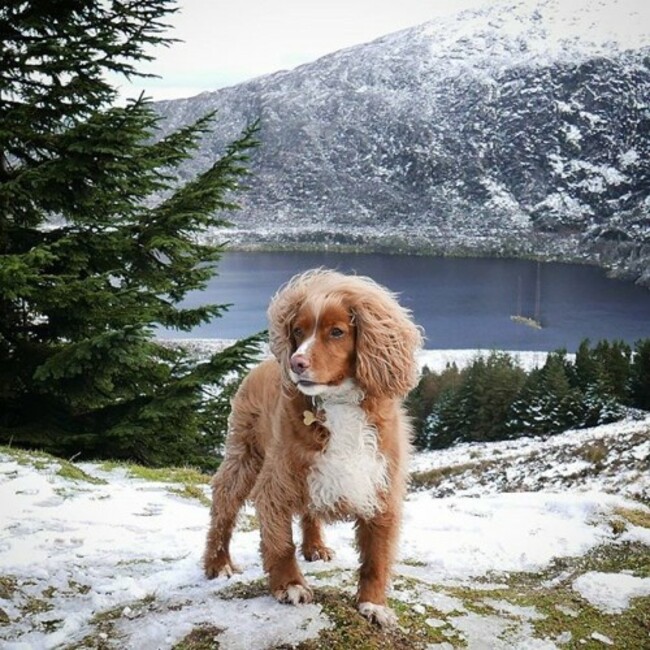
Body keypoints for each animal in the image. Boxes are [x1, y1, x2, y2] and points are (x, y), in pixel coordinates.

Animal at [204, 268, 426, 624]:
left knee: (309, 511)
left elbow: (377, 557)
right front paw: (291, 586)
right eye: (298, 330)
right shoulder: (277, 482)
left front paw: (374, 605)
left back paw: (315, 547)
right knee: (224, 503)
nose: (296, 362)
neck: (339, 403)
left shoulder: (380, 484)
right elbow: (280, 544)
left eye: (337, 332)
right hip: (245, 453)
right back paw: (218, 562)